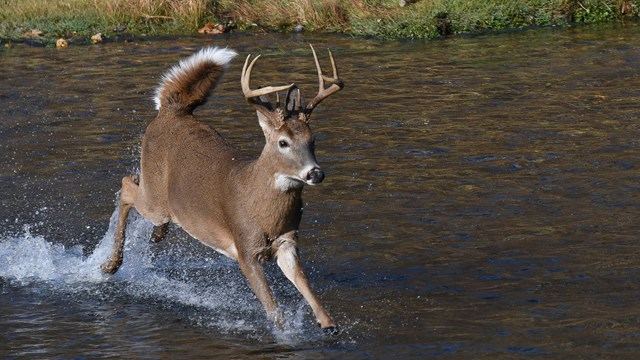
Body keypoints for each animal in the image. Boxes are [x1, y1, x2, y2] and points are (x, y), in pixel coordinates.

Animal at [99, 45, 344, 334]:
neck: (264, 211)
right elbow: (272, 308)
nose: (315, 173)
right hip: (155, 197)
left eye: (313, 140)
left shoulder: (287, 241)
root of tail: (171, 111)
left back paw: (156, 236)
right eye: (283, 142)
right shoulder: (245, 247)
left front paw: (328, 323)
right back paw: (109, 266)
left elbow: (305, 284)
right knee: (127, 185)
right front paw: (285, 333)